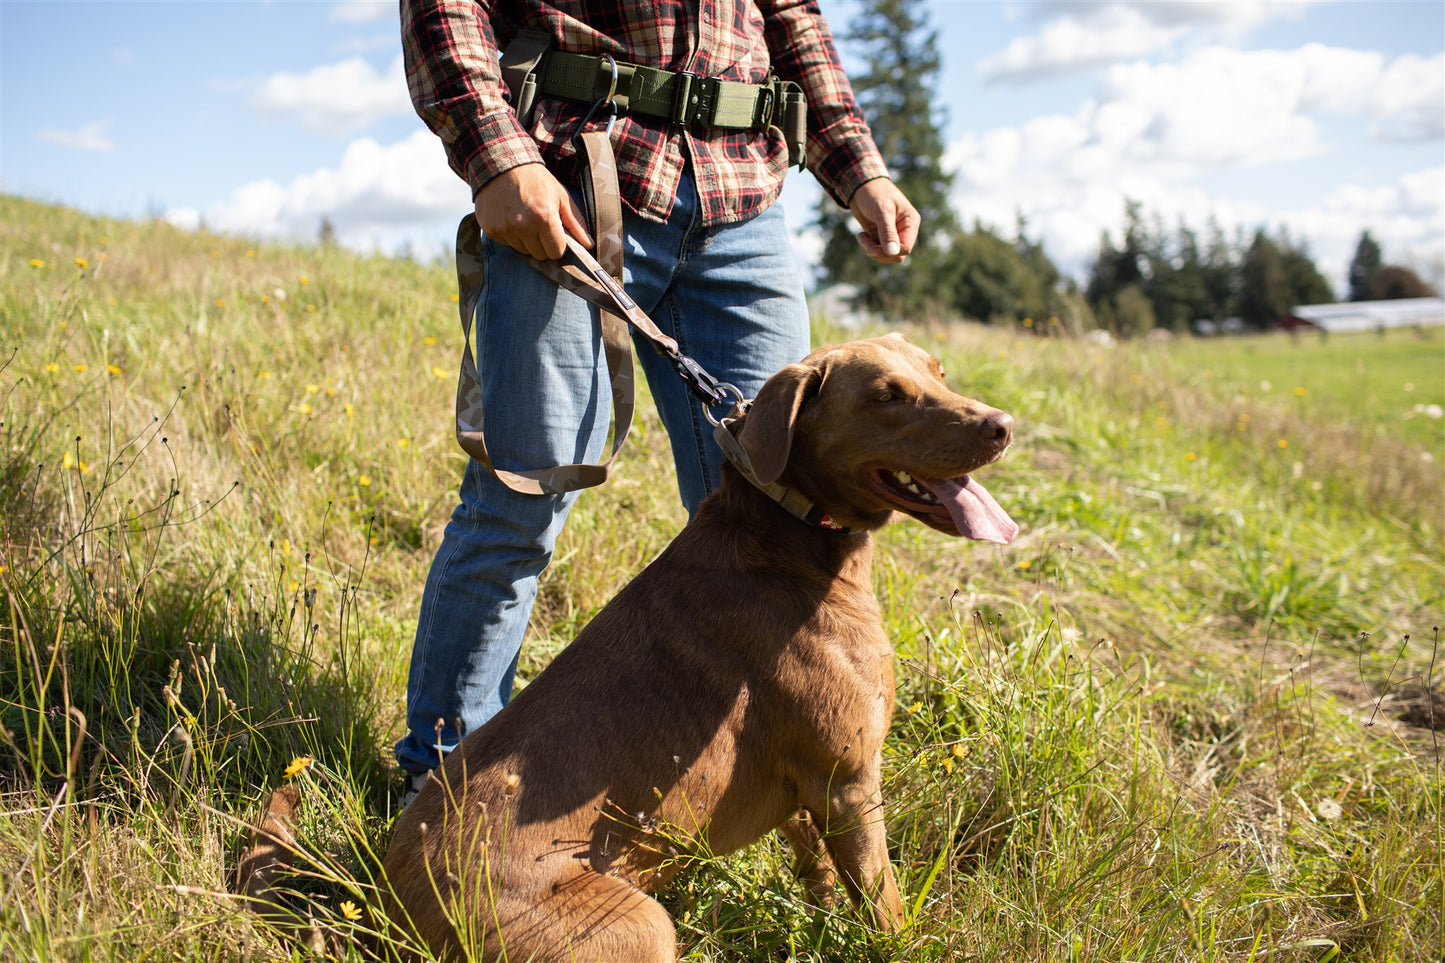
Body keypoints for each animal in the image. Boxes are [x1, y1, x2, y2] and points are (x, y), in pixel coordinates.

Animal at [384, 334, 1017, 954]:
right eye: (886, 396)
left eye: (938, 373)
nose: (1004, 424)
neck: (789, 533)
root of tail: (394, 914)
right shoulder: (850, 783)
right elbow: (885, 906)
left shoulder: (807, 790)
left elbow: (817, 870)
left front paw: (820, 923)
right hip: (643, 922)